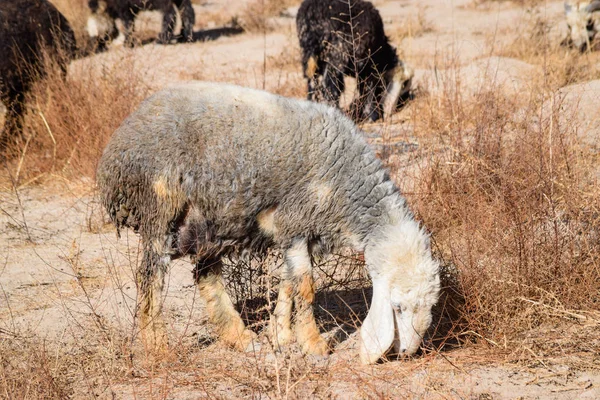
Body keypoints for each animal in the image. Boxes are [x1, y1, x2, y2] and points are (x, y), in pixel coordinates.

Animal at [95, 81, 440, 362]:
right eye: (397, 307)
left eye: (430, 306)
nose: (406, 352)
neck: (344, 178)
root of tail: (115, 146)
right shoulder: (296, 221)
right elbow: (306, 288)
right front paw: (313, 344)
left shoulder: (299, 233)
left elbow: (289, 283)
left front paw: (280, 335)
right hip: (159, 206)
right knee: (150, 276)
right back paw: (157, 346)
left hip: (211, 222)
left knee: (205, 275)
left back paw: (240, 337)